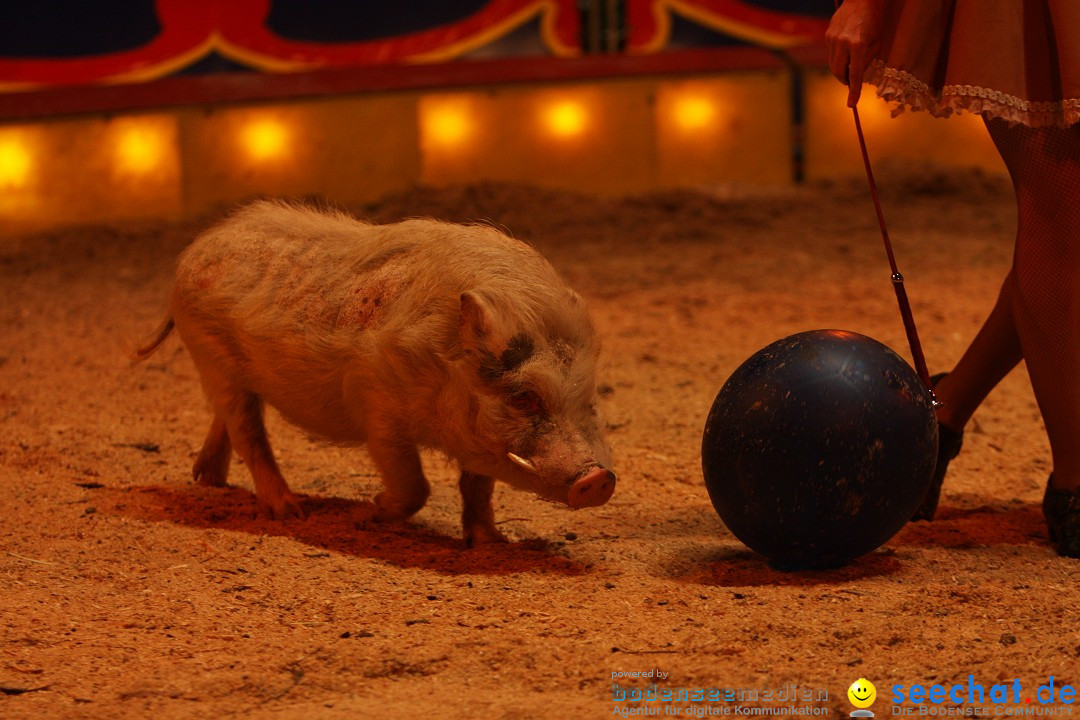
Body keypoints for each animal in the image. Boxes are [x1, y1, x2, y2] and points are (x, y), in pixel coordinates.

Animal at [137, 199, 617, 544]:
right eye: (524, 396)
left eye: (588, 398)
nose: (598, 479)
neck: (440, 362)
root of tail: (196, 248)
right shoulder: (380, 410)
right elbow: (413, 485)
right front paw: (365, 513)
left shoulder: (478, 438)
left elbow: (478, 488)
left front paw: (489, 542)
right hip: (211, 355)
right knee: (249, 433)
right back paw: (290, 510)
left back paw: (209, 480)